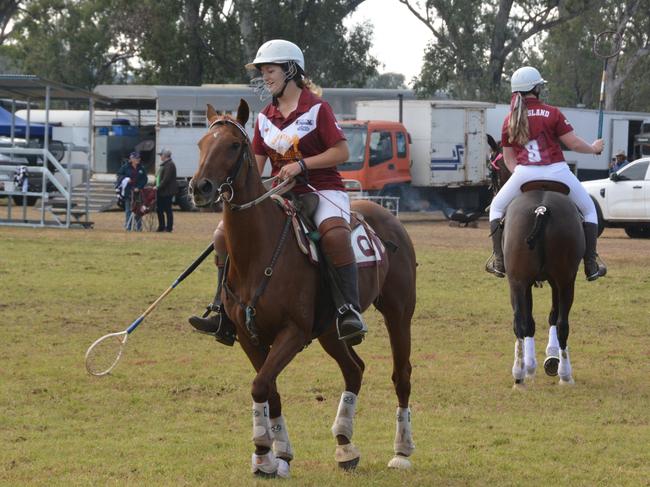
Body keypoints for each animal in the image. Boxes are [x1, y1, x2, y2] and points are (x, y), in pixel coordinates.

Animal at [190, 99, 418, 476]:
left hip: (399, 313)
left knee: (401, 374)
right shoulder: (248, 336)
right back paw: (345, 445)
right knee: (354, 369)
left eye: (233, 146)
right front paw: (277, 454)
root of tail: (387, 216)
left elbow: (260, 385)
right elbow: (269, 389)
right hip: (329, 329)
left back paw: (401, 451)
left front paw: (263, 453)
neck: (257, 251)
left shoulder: (293, 332)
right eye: (201, 144)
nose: (200, 188)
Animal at [502, 185, 584, 390]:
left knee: (521, 323)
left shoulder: (525, 283)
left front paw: (534, 365)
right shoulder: (551, 282)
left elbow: (532, 322)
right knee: (561, 324)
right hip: (564, 281)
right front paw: (545, 361)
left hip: (519, 282)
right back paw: (564, 375)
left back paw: (520, 376)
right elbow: (549, 317)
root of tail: (541, 209)